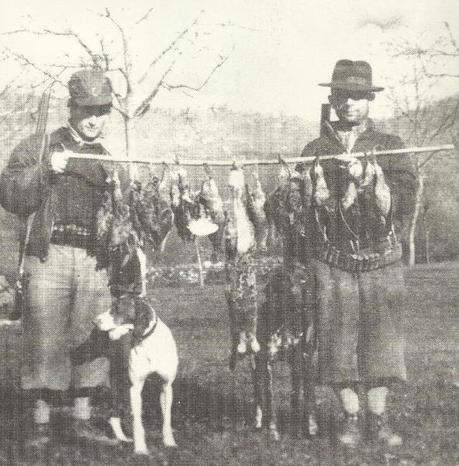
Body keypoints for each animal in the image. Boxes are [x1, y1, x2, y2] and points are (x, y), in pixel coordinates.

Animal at [94, 294, 179, 456]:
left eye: (117, 309)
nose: (94, 322)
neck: (148, 341)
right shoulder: (135, 387)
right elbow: (138, 422)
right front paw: (140, 448)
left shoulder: (167, 386)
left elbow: (167, 418)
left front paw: (169, 442)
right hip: (119, 384)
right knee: (114, 415)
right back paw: (122, 438)